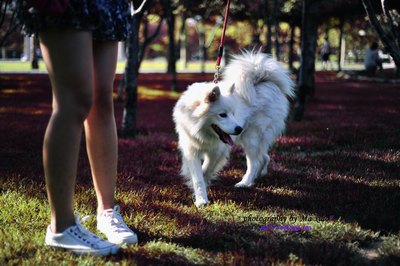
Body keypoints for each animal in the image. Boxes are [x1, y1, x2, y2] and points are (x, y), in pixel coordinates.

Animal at [173, 50, 294, 208]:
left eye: (233, 113)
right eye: (222, 115)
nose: (238, 129)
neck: (198, 128)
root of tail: (264, 82)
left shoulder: (217, 151)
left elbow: (205, 171)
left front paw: (202, 190)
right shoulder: (191, 149)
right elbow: (197, 176)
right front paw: (200, 197)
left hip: (251, 138)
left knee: (255, 162)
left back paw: (245, 183)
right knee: (264, 158)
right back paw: (256, 178)